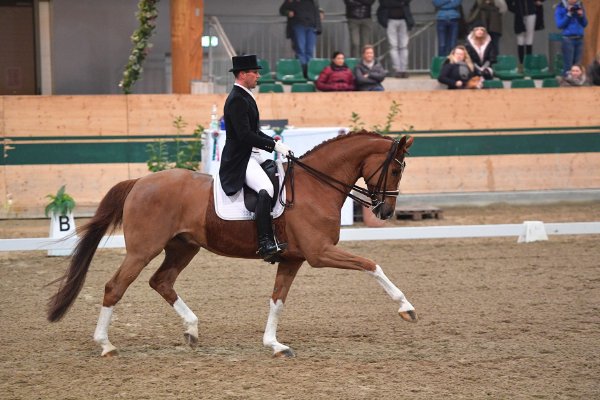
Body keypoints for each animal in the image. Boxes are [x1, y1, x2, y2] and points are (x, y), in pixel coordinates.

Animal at [47, 130, 418, 356]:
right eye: (396, 170)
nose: (385, 212)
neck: (316, 186)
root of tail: (139, 181)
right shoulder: (319, 253)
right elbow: (371, 265)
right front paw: (406, 307)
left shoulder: (293, 258)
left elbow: (277, 299)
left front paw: (274, 344)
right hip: (142, 250)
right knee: (115, 287)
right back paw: (105, 345)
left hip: (183, 247)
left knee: (161, 281)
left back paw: (192, 330)